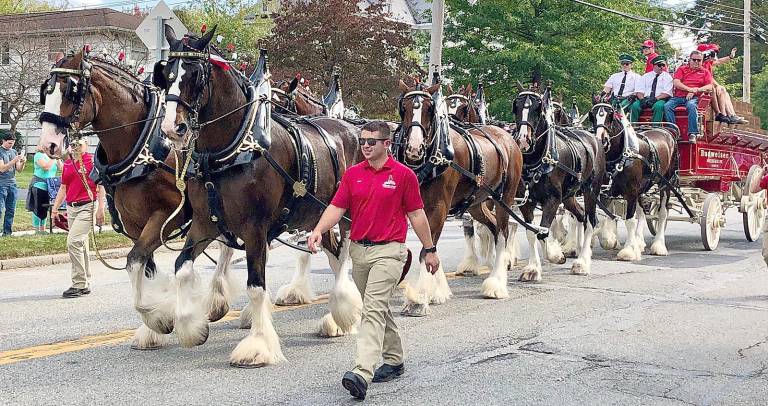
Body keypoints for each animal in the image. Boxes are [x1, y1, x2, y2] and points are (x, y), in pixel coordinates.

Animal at [38, 50, 237, 348]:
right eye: (45, 92)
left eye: (70, 91)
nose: (47, 144)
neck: (143, 146)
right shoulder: (134, 223)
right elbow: (144, 266)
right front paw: (153, 326)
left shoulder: (168, 215)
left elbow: (134, 261)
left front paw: (160, 319)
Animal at [153, 27, 364, 366]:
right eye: (167, 74)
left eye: (195, 75)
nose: (173, 127)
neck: (231, 150)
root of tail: (353, 129)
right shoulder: (205, 223)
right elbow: (182, 268)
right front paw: (190, 328)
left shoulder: (254, 228)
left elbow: (255, 286)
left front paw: (258, 346)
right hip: (318, 216)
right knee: (333, 255)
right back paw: (339, 317)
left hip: (344, 215)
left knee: (343, 256)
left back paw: (344, 311)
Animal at [396, 78, 520, 314]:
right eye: (404, 108)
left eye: (429, 109)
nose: (414, 149)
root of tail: (509, 138)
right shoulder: (417, 207)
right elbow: (430, 245)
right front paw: (439, 290)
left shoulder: (439, 207)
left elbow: (427, 249)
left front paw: (420, 297)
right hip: (477, 204)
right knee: (492, 226)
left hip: (505, 199)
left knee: (502, 233)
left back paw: (496, 284)